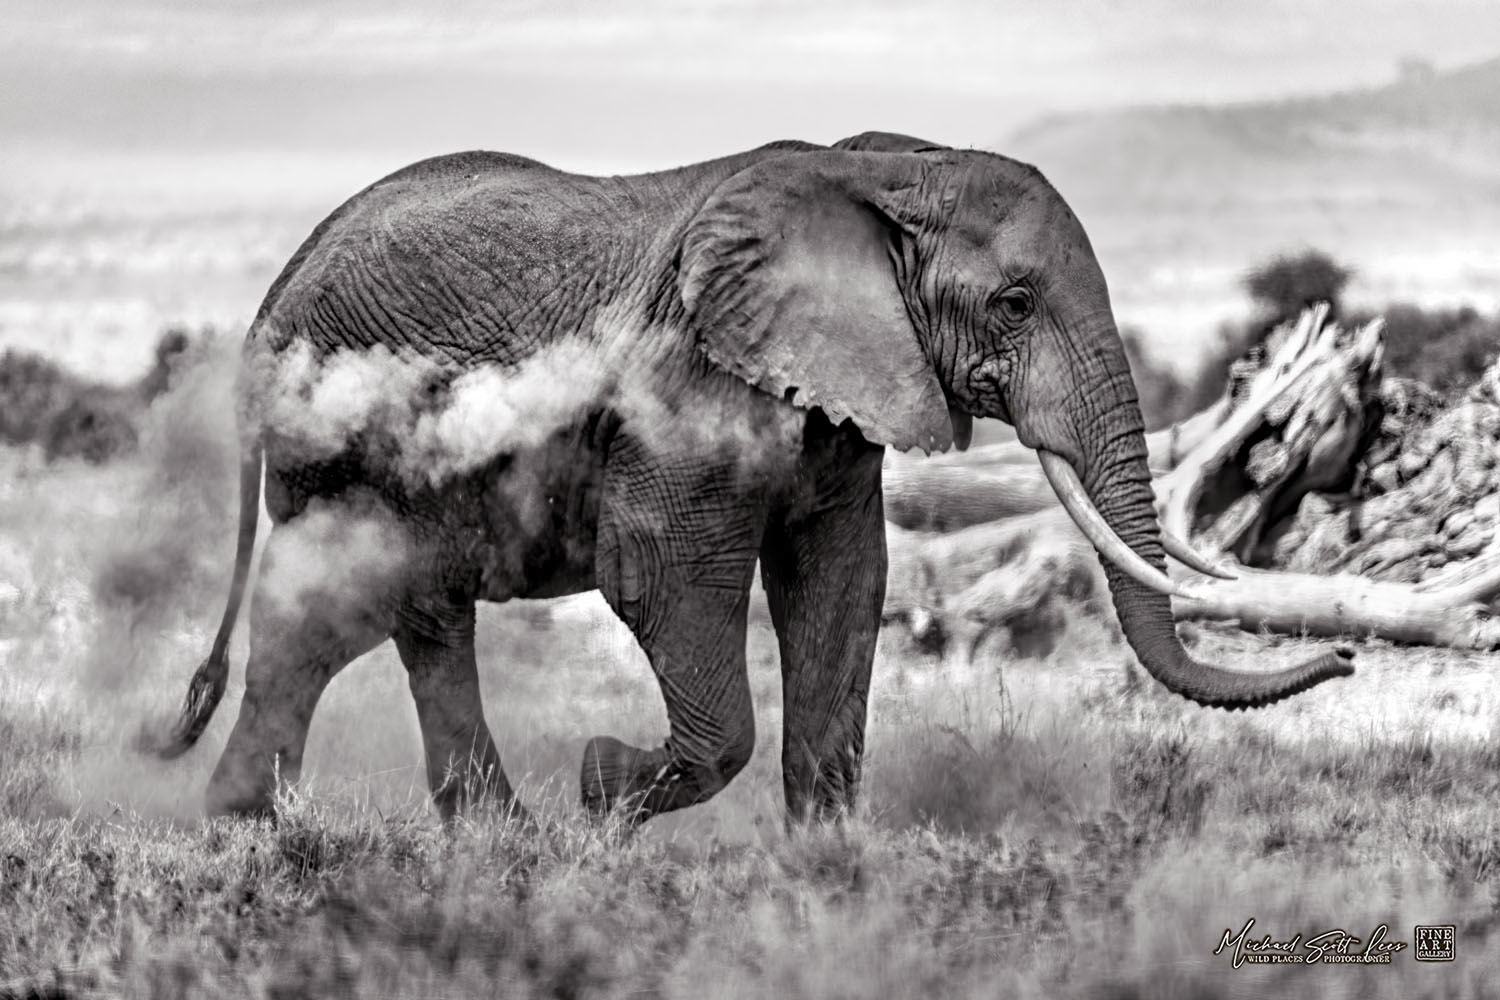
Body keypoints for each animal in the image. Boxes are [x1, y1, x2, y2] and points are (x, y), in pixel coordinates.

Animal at [153, 130, 1354, 824]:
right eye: (1014, 304)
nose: (1343, 654)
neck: (882, 167)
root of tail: (273, 294)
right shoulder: (686, 388)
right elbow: (664, 579)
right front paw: (599, 786)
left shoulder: (843, 401)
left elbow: (843, 586)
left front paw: (829, 879)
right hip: (350, 436)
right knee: (348, 612)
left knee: (382, 621)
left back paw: (403, 839)